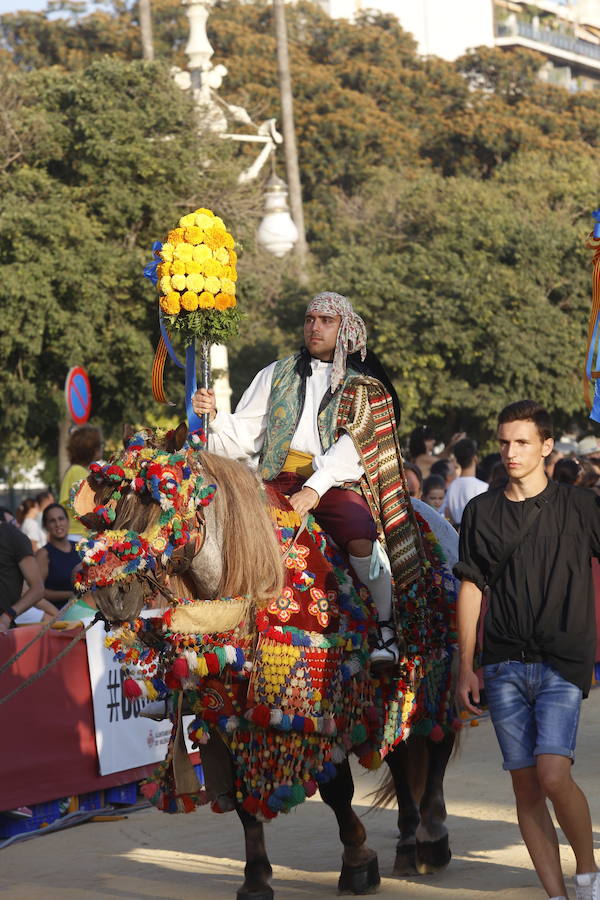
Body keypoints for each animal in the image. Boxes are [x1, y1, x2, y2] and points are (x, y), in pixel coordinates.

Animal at [75, 426, 460, 896]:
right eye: (109, 511)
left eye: (159, 504)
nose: (112, 594)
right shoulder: (222, 712)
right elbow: (242, 799)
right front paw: (256, 877)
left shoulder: (314, 708)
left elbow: (337, 790)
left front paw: (357, 861)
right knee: (398, 756)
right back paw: (407, 838)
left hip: (437, 669)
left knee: (436, 745)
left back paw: (431, 839)